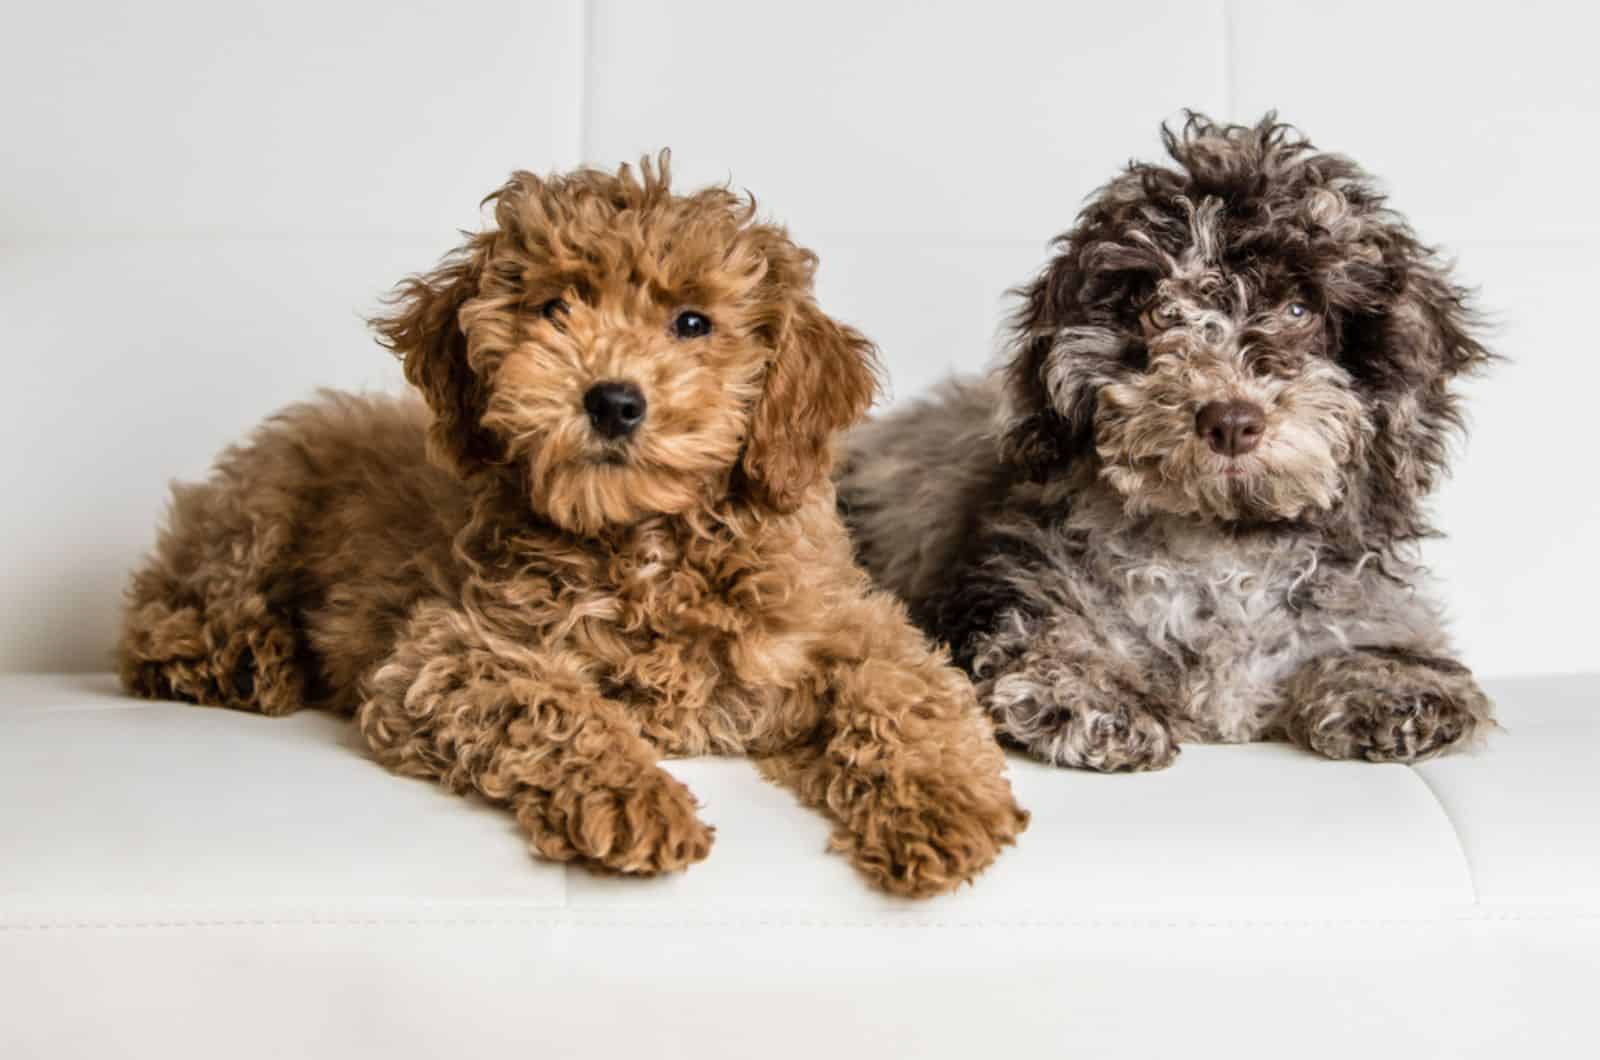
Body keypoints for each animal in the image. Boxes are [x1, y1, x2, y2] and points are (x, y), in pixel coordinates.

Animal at [118, 153, 1030, 896]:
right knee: (164, 615)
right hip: (261, 512)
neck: (646, 543)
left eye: (692, 322)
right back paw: (244, 661)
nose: (613, 400)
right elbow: (555, 702)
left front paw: (945, 806)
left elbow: (905, 691)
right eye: (555, 308)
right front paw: (637, 800)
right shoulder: (444, 654)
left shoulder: (847, 623)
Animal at [844, 116, 1491, 778]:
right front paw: (1089, 692)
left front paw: (1390, 686)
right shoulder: (1010, 587)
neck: (1223, 547)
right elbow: (1048, 636)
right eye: (1160, 312)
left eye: (1298, 309)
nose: (1231, 420)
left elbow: (1377, 638)